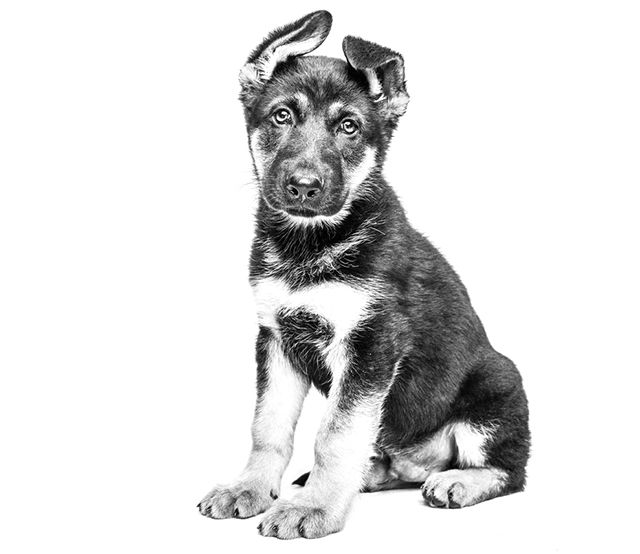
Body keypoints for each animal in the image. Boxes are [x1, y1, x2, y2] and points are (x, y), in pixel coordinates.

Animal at [199, 10, 528, 536]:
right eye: (281, 116)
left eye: (349, 127)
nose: (303, 187)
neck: (310, 244)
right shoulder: (275, 339)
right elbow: (268, 426)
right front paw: (249, 488)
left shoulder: (370, 343)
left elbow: (336, 433)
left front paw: (314, 509)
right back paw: (372, 474)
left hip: (498, 385)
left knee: (508, 470)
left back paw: (457, 481)